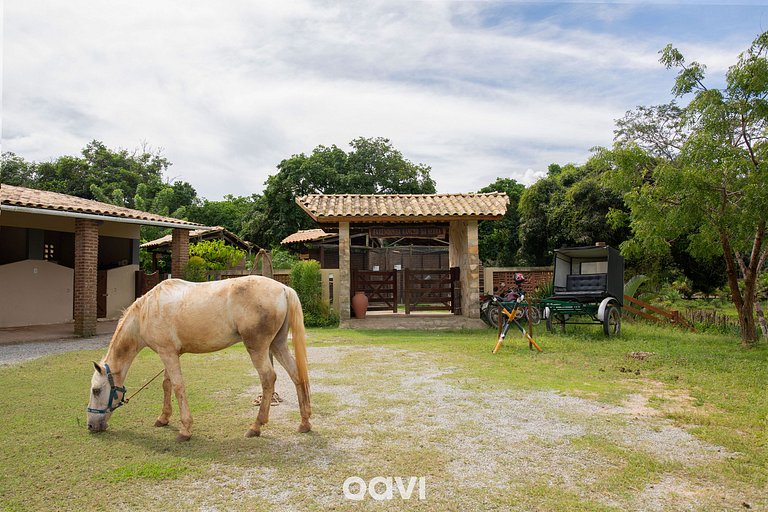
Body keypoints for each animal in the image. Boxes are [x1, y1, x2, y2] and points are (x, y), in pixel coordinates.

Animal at [85, 276, 308, 440]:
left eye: (96, 390)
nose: (91, 425)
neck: (146, 313)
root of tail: (283, 289)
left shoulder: (167, 353)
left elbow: (177, 386)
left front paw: (185, 430)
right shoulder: (171, 354)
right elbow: (167, 384)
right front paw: (163, 418)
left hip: (259, 349)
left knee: (268, 378)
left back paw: (256, 426)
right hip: (278, 345)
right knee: (297, 375)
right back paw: (305, 423)